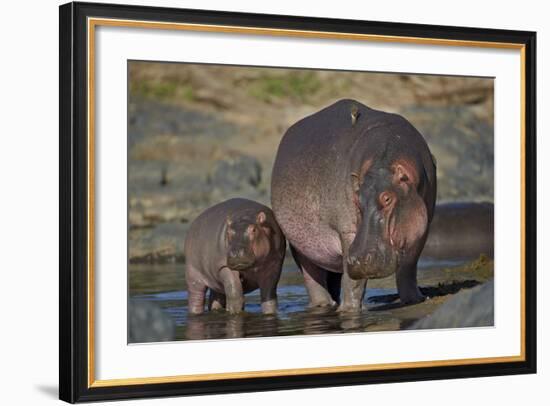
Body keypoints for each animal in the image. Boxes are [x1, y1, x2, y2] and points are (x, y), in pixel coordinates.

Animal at [270, 100, 436, 312]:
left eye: (387, 198)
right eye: (357, 199)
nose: (358, 260)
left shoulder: (423, 226)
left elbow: (409, 265)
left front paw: (415, 299)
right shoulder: (348, 231)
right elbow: (353, 281)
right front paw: (348, 311)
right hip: (301, 245)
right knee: (312, 277)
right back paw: (324, 305)